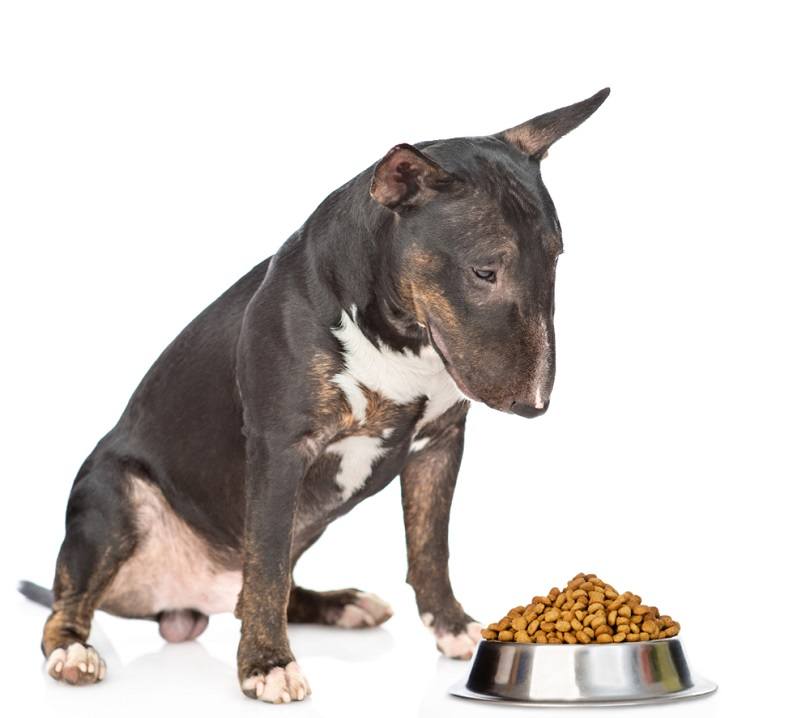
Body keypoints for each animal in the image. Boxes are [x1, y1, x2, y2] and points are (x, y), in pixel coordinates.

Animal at [20, 88, 608, 704]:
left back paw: (344, 604)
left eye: (557, 257)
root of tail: (181, 603)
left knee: (261, 587)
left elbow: (430, 547)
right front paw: (266, 666)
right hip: (113, 497)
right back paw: (72, 654)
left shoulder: (441, 443)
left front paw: (454, 628)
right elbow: (268, 566)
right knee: (71, 606)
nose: (534, 404)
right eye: (484, 270)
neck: (399, 337)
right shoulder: (280, 449)